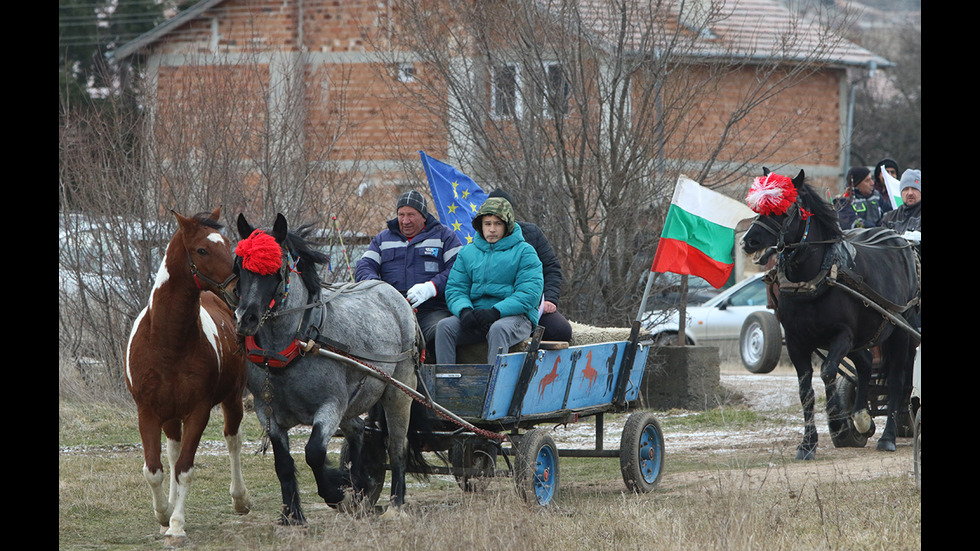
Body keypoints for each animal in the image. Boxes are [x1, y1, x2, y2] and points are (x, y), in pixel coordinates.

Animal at [124, 208, 249, 544]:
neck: (167, 343)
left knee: (232, 440)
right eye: (202, 250)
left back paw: (240, 498)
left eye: (229, 245)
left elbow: (185, 468)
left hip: (233, 399)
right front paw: (163, 514)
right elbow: (154, 469)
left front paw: (177, 524)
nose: (238, 290)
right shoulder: (148, 412)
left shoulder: (198, 411)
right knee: (172, 451)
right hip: (170, 416)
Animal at [234, 213, 432, 524]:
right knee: (359, 430)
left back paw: (395, 505)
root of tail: (396, 295)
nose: (246, 319)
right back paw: (361, 485)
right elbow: (283, 463)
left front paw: (335, 491)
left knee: (397, 448)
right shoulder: (268, 413)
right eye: (240, 266)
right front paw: (292, 515)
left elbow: (314, 452)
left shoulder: (331, 405)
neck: (295, 344)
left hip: (398, 392)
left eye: (276, 269)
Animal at [744, 169, 920, 462]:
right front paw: (808, 444)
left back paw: (888, 436)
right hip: (865, 336)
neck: (816, 275)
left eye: (783, 209)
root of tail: (902, 242)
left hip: (898, 329)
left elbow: (827, 372)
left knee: (897, 380)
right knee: (865, 365)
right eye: (758, 208)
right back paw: (861, 417)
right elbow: (805, 390)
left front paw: (838, 420)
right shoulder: (797, 341)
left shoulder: (842, 336)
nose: (748, 241)